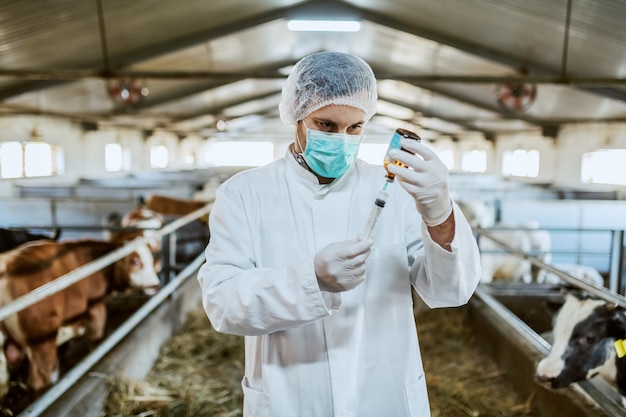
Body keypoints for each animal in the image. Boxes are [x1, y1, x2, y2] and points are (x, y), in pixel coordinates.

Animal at [0, 234, 160, 400]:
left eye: (151, 259)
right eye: (135, 261)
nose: (156, 285)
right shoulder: (96, 309)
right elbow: (95, 338)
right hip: (41, 342)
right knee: (39, 382)